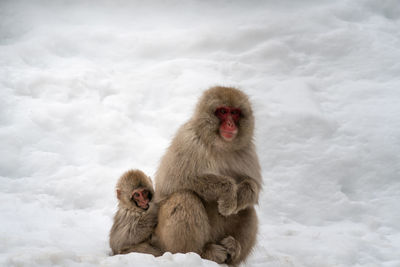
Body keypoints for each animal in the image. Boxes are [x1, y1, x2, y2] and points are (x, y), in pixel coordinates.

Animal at [154, 87, 262, 266]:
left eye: (235, 113)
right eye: (223, 111)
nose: (230, 124)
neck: (220, 145)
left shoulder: (248, 150)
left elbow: (253, 184)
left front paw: (241, 195)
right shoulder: (188, 141)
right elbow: (175, 181)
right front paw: (229, 194)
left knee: (249, 210)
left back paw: (234, 249)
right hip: (164, 240)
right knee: (185, 197)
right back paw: (200, 253)